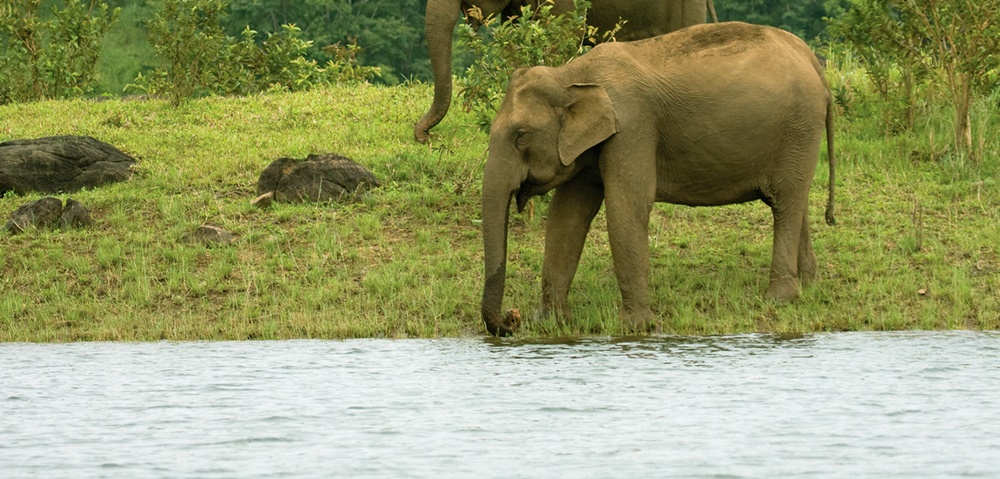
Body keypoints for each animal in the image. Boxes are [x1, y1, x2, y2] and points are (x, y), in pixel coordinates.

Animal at [480, 23, 840, 338]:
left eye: (521, 136)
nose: (512, 319)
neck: (571, 75)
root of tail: (812, 61)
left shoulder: (632, 126)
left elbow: (627, 207)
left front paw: (637, 327)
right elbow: (566, 217)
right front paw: (550, 323)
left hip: (799, 127)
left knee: (786, 202)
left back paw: (780, 298)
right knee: (794, 202)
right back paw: (808, 285)